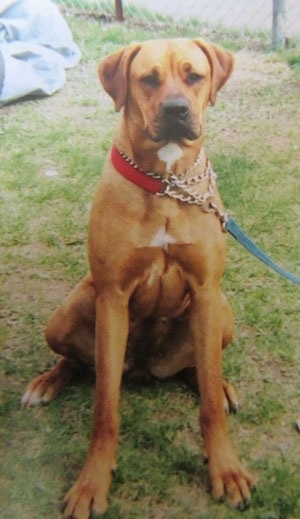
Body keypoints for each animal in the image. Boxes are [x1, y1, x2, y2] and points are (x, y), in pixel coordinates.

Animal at [22, 37, 254, 519]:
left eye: (194, 76)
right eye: (147, 79)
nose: (176, 110)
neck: (165, 182)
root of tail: (149, 367)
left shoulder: (206, 293)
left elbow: (208, 404)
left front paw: (226, 469)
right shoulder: (113, 298)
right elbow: (105, 406)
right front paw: (92, 482)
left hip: (222, 312)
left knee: (198, 368)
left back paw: (219, 385)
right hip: (66, 315)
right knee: (77, 360)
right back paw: (47, 382)